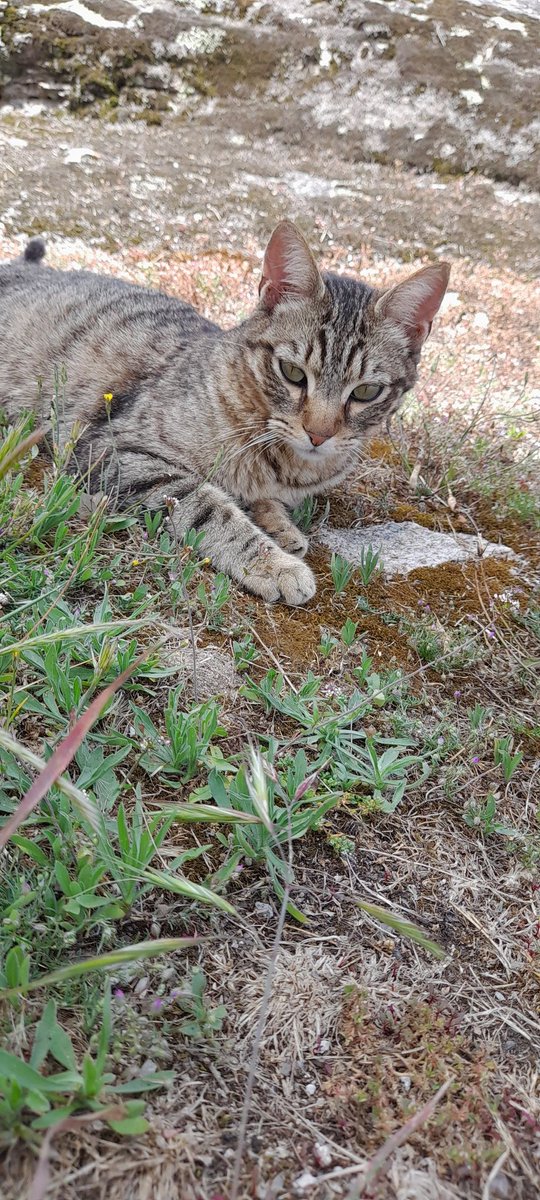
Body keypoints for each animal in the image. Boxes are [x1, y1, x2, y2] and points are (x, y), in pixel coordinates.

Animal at [0, 222, 446, 604]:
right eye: (292, 372)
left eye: (367, 391)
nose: (319, 434)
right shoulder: (114, 450)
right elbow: (207, 506)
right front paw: (273, 562)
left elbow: (263, 500)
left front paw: (279, 525)